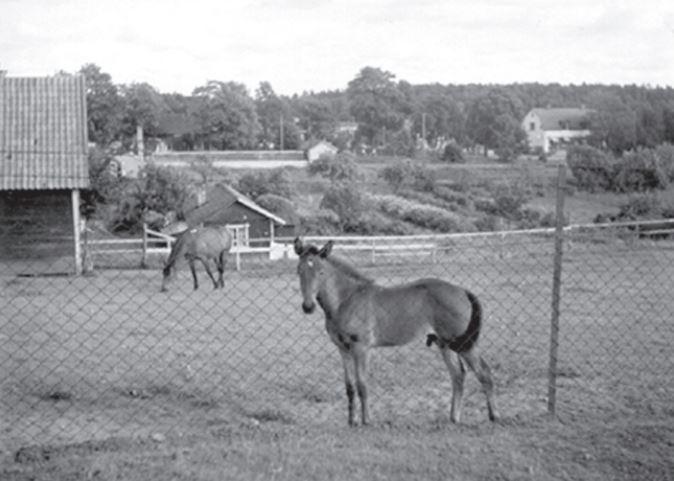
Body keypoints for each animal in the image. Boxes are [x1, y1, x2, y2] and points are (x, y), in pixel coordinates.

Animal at [292, 238, 496, 426]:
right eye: (299, 271)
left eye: (321, 272)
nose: (308, 307)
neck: (346, 299)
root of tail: (462, 290)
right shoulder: (343, 349)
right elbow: (349, 387)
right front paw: (351, 422)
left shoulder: (361, 348)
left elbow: (362, 384)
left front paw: (366, 421)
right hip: (444, 343)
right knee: (458, 375)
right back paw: (454, 418)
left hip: (464, 343)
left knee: (483, 372)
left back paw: (494, 416)